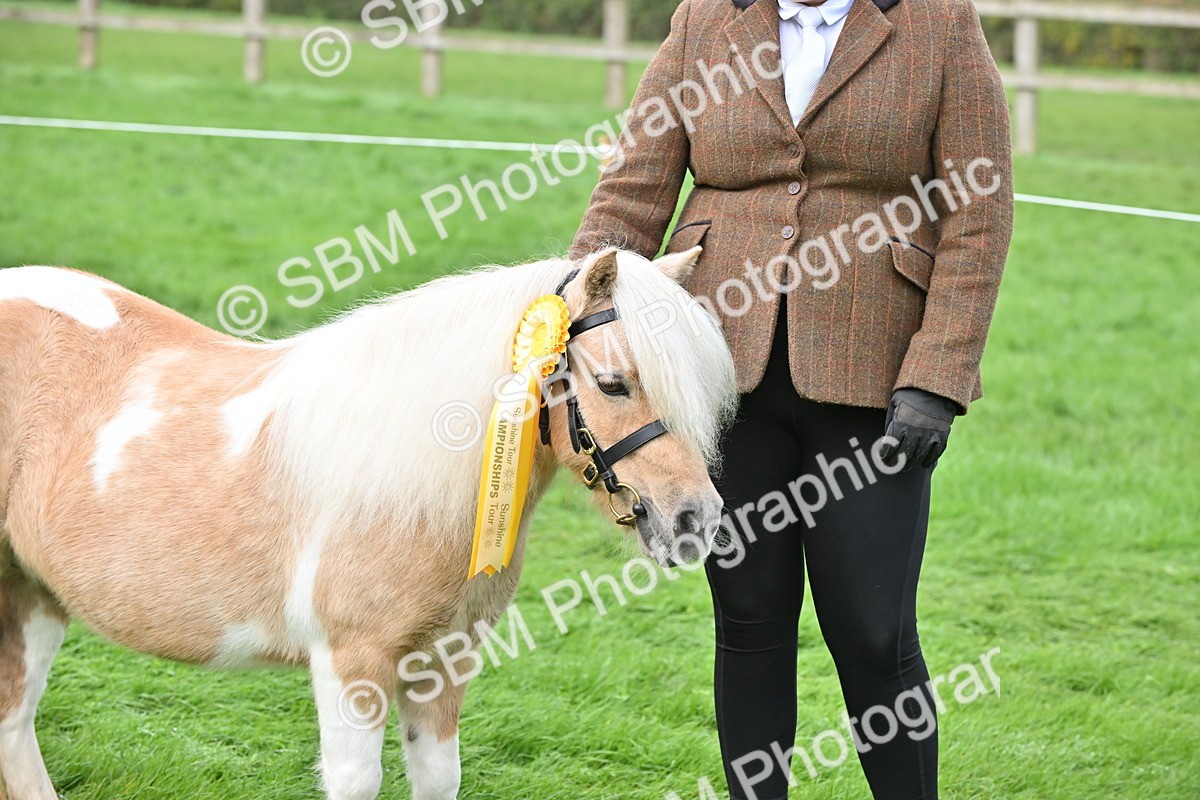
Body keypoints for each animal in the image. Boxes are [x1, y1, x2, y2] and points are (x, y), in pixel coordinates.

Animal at [0, 246, 737, 800]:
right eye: (613, 383)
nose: (694, 518)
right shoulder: (350, 664)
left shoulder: (442, 663)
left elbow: (439, 779)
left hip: (32, 597)